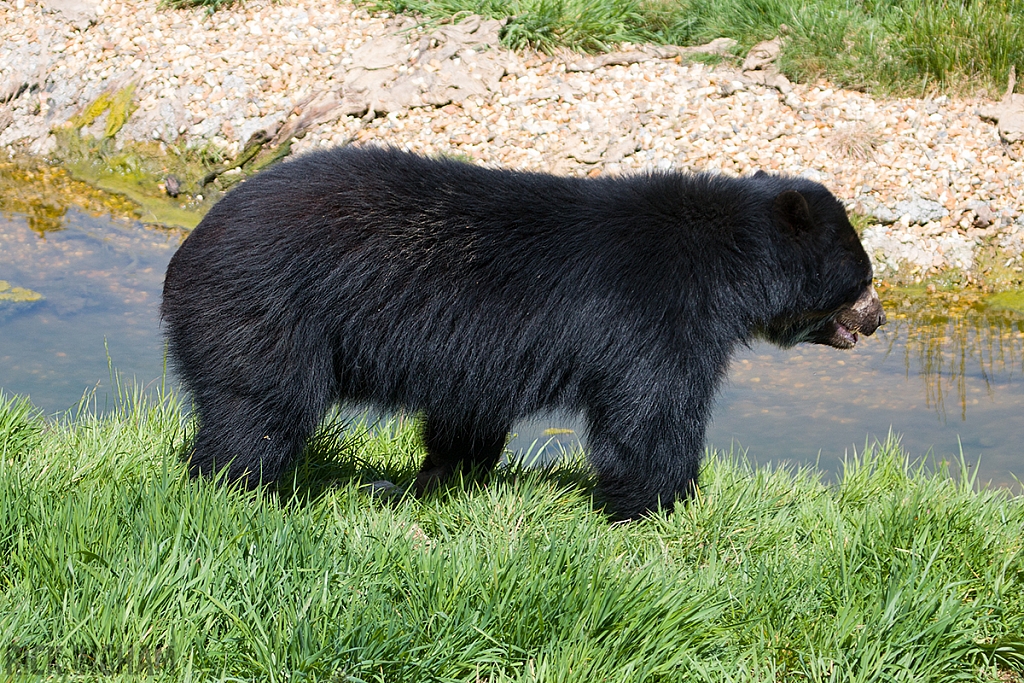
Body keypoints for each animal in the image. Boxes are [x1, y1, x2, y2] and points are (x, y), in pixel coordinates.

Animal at [163, 144, 884, 518]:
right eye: (864, 274)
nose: (878, 319)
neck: (726, 268)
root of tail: (189, 248)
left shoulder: (475, 358)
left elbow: (466, 414)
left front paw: (448, 478)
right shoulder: (653, 318)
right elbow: (650, 414)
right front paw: (659, 505)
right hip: (265, 315)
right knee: (258, 411)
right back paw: (238, 490)